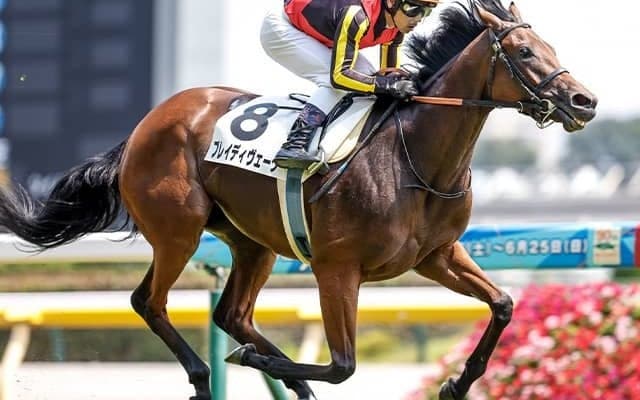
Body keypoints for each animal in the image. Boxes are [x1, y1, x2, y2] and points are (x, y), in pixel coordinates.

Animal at [0, 1, 596, 399]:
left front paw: (456, 383)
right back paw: (205, 376)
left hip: (251, 242)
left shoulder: (436, 256)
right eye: (523, 51)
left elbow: (503, 303)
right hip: (178, 231)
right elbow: (343, 365)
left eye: (551, 48)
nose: (584, 101)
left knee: (232, 314)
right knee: (149, 301)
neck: (416, 159)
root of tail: (147, 125)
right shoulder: (337, 267)